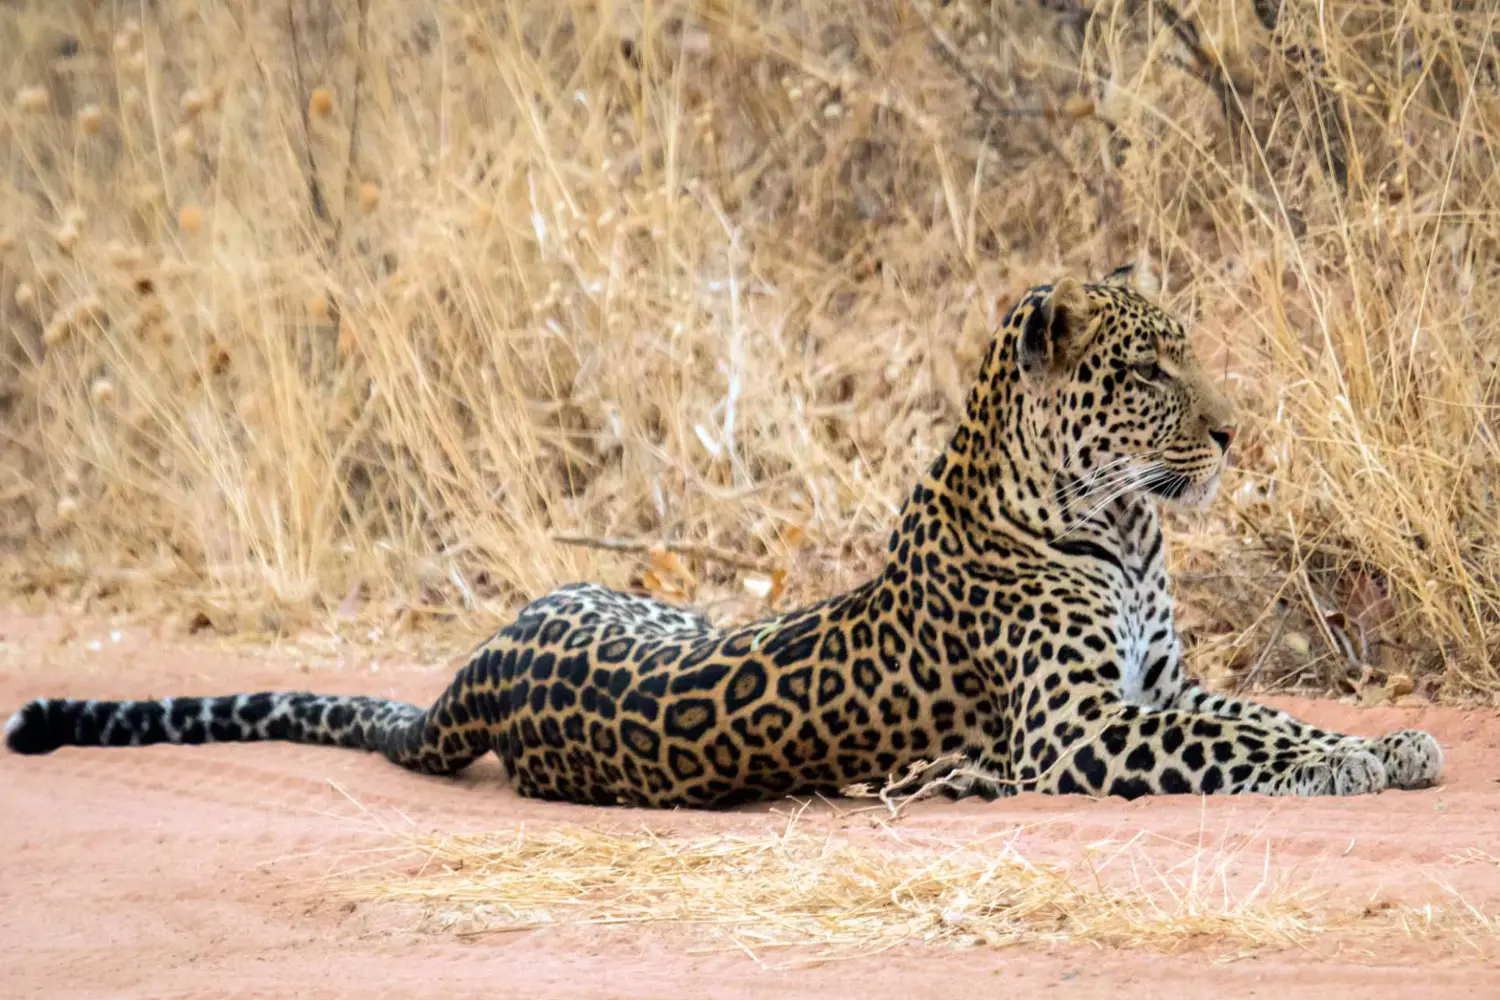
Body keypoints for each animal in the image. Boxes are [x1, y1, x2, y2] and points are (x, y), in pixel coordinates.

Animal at [8, 269, 1440, 809]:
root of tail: (490, 657)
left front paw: (1387, 743)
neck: (1124, 525)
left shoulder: (1161, 684)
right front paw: (1353, 765)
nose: (1236, 434)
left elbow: (1263, 713)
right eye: (1148, 371)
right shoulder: (1080, 726)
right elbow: (1242, 742)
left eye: (1186, 350)